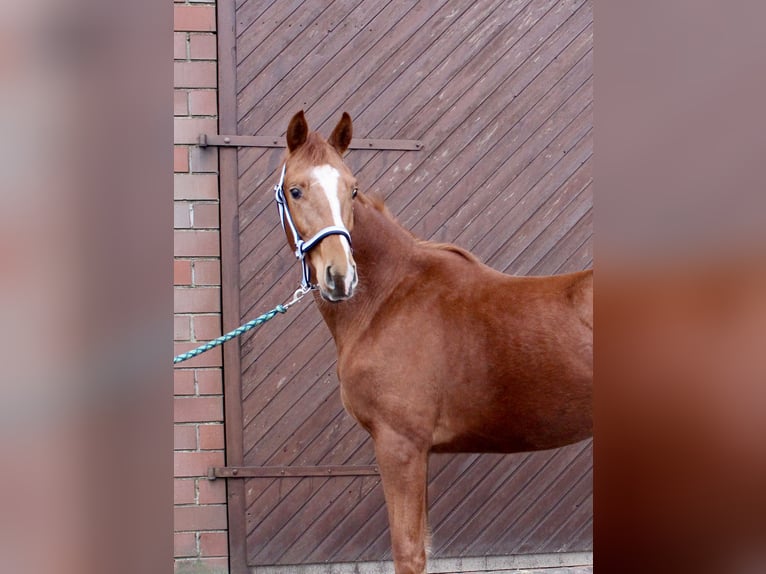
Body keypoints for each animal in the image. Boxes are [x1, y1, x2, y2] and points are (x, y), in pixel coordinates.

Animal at [273, 110, 593, 574]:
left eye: (352, 188)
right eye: (295, 190)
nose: (340, 277)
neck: (388, 297)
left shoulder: (400, 446)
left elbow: (408, 552)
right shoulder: (416, 451)